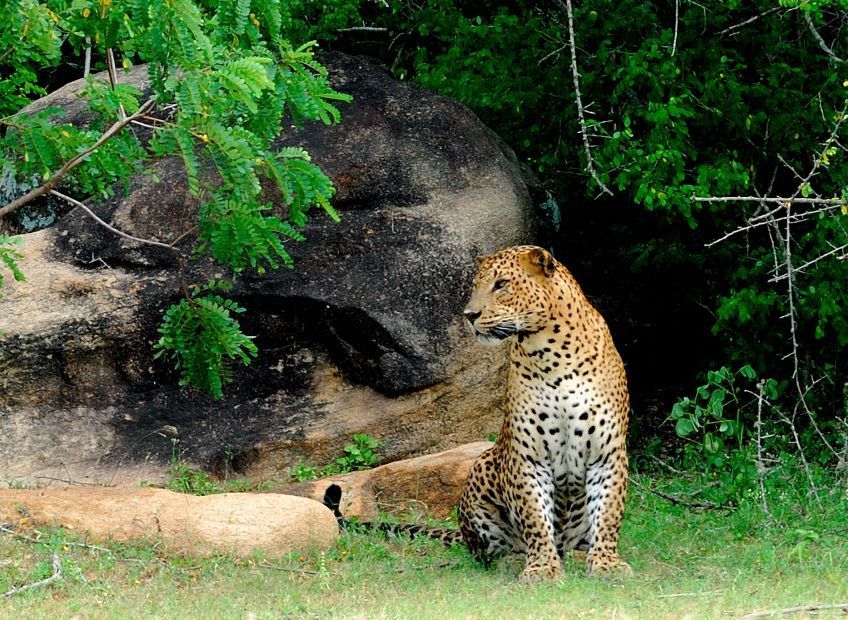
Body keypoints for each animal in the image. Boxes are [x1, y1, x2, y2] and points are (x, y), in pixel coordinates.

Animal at [324, 245, 630, 582]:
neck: (551, 354)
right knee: (488, 551)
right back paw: (514, 560)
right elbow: (535, 518)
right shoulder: (527, 457)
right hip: (483, 468)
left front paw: (605, 563)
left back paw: (575, 556)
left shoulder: (607, 454)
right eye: (475, 286)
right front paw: (541, 567)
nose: (469, 316)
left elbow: (608, 513)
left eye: (501, 284)